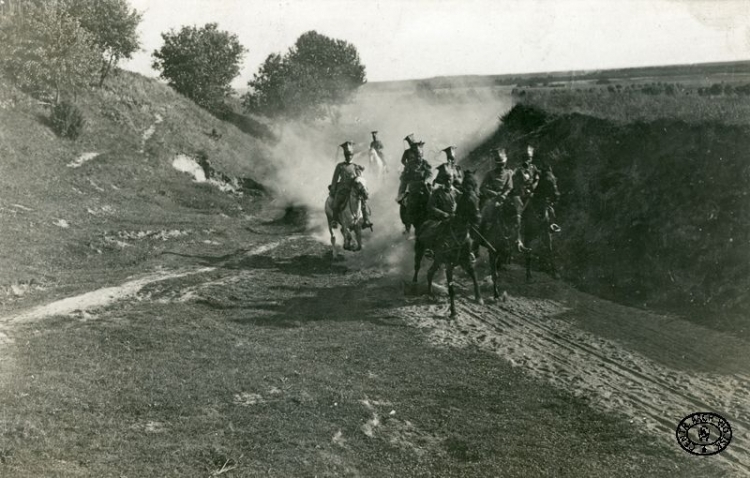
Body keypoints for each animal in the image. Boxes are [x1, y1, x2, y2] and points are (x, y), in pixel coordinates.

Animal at [414, 170, 484, 320]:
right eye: (468, 201)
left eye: (477, 200)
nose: (478, 219)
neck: (458, 233)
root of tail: (425, 223)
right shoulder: (448, 265)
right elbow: (451, 289)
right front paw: (453, 312)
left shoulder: (466, 260)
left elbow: (474, 276)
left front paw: (479, 298)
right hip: (419, 249)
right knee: (417, 266)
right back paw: (414, 282)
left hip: (437, 259)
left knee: (430, 272)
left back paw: (430, 294)